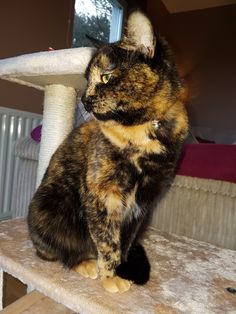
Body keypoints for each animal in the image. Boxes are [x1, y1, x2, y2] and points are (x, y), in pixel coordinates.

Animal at [28, 11, 188, 292]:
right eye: (87, 79)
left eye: (106, 76)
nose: (83, 99)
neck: (141, 132)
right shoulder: (103, 193)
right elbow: (107, 239)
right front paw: (111, 275)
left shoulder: (144, 200)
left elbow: (125, 239)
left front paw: (122, 268)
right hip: (50, 207)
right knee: (54, 251)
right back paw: (85, 263)